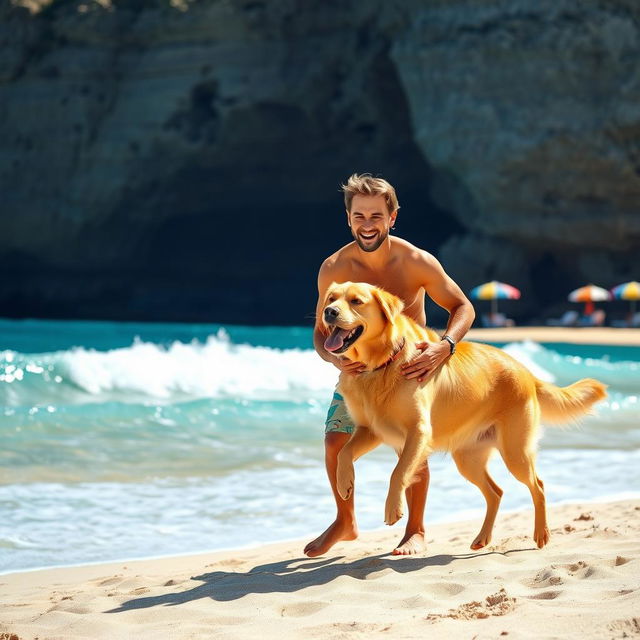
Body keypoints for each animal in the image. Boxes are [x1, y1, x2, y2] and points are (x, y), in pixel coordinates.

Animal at [322, 282, 608, 548]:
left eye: (356, 301)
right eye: (331, 298)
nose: (329, 312)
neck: (383, 362)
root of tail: (525, 370)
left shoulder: (418, 431)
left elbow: (398, 472)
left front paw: (393, 508)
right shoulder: (371, 430)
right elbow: (345, 452)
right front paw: (344, 482)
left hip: (515, 452)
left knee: (538, 485)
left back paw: (541, 534)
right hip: (468, 459)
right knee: (496, 492)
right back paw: (483, 537)